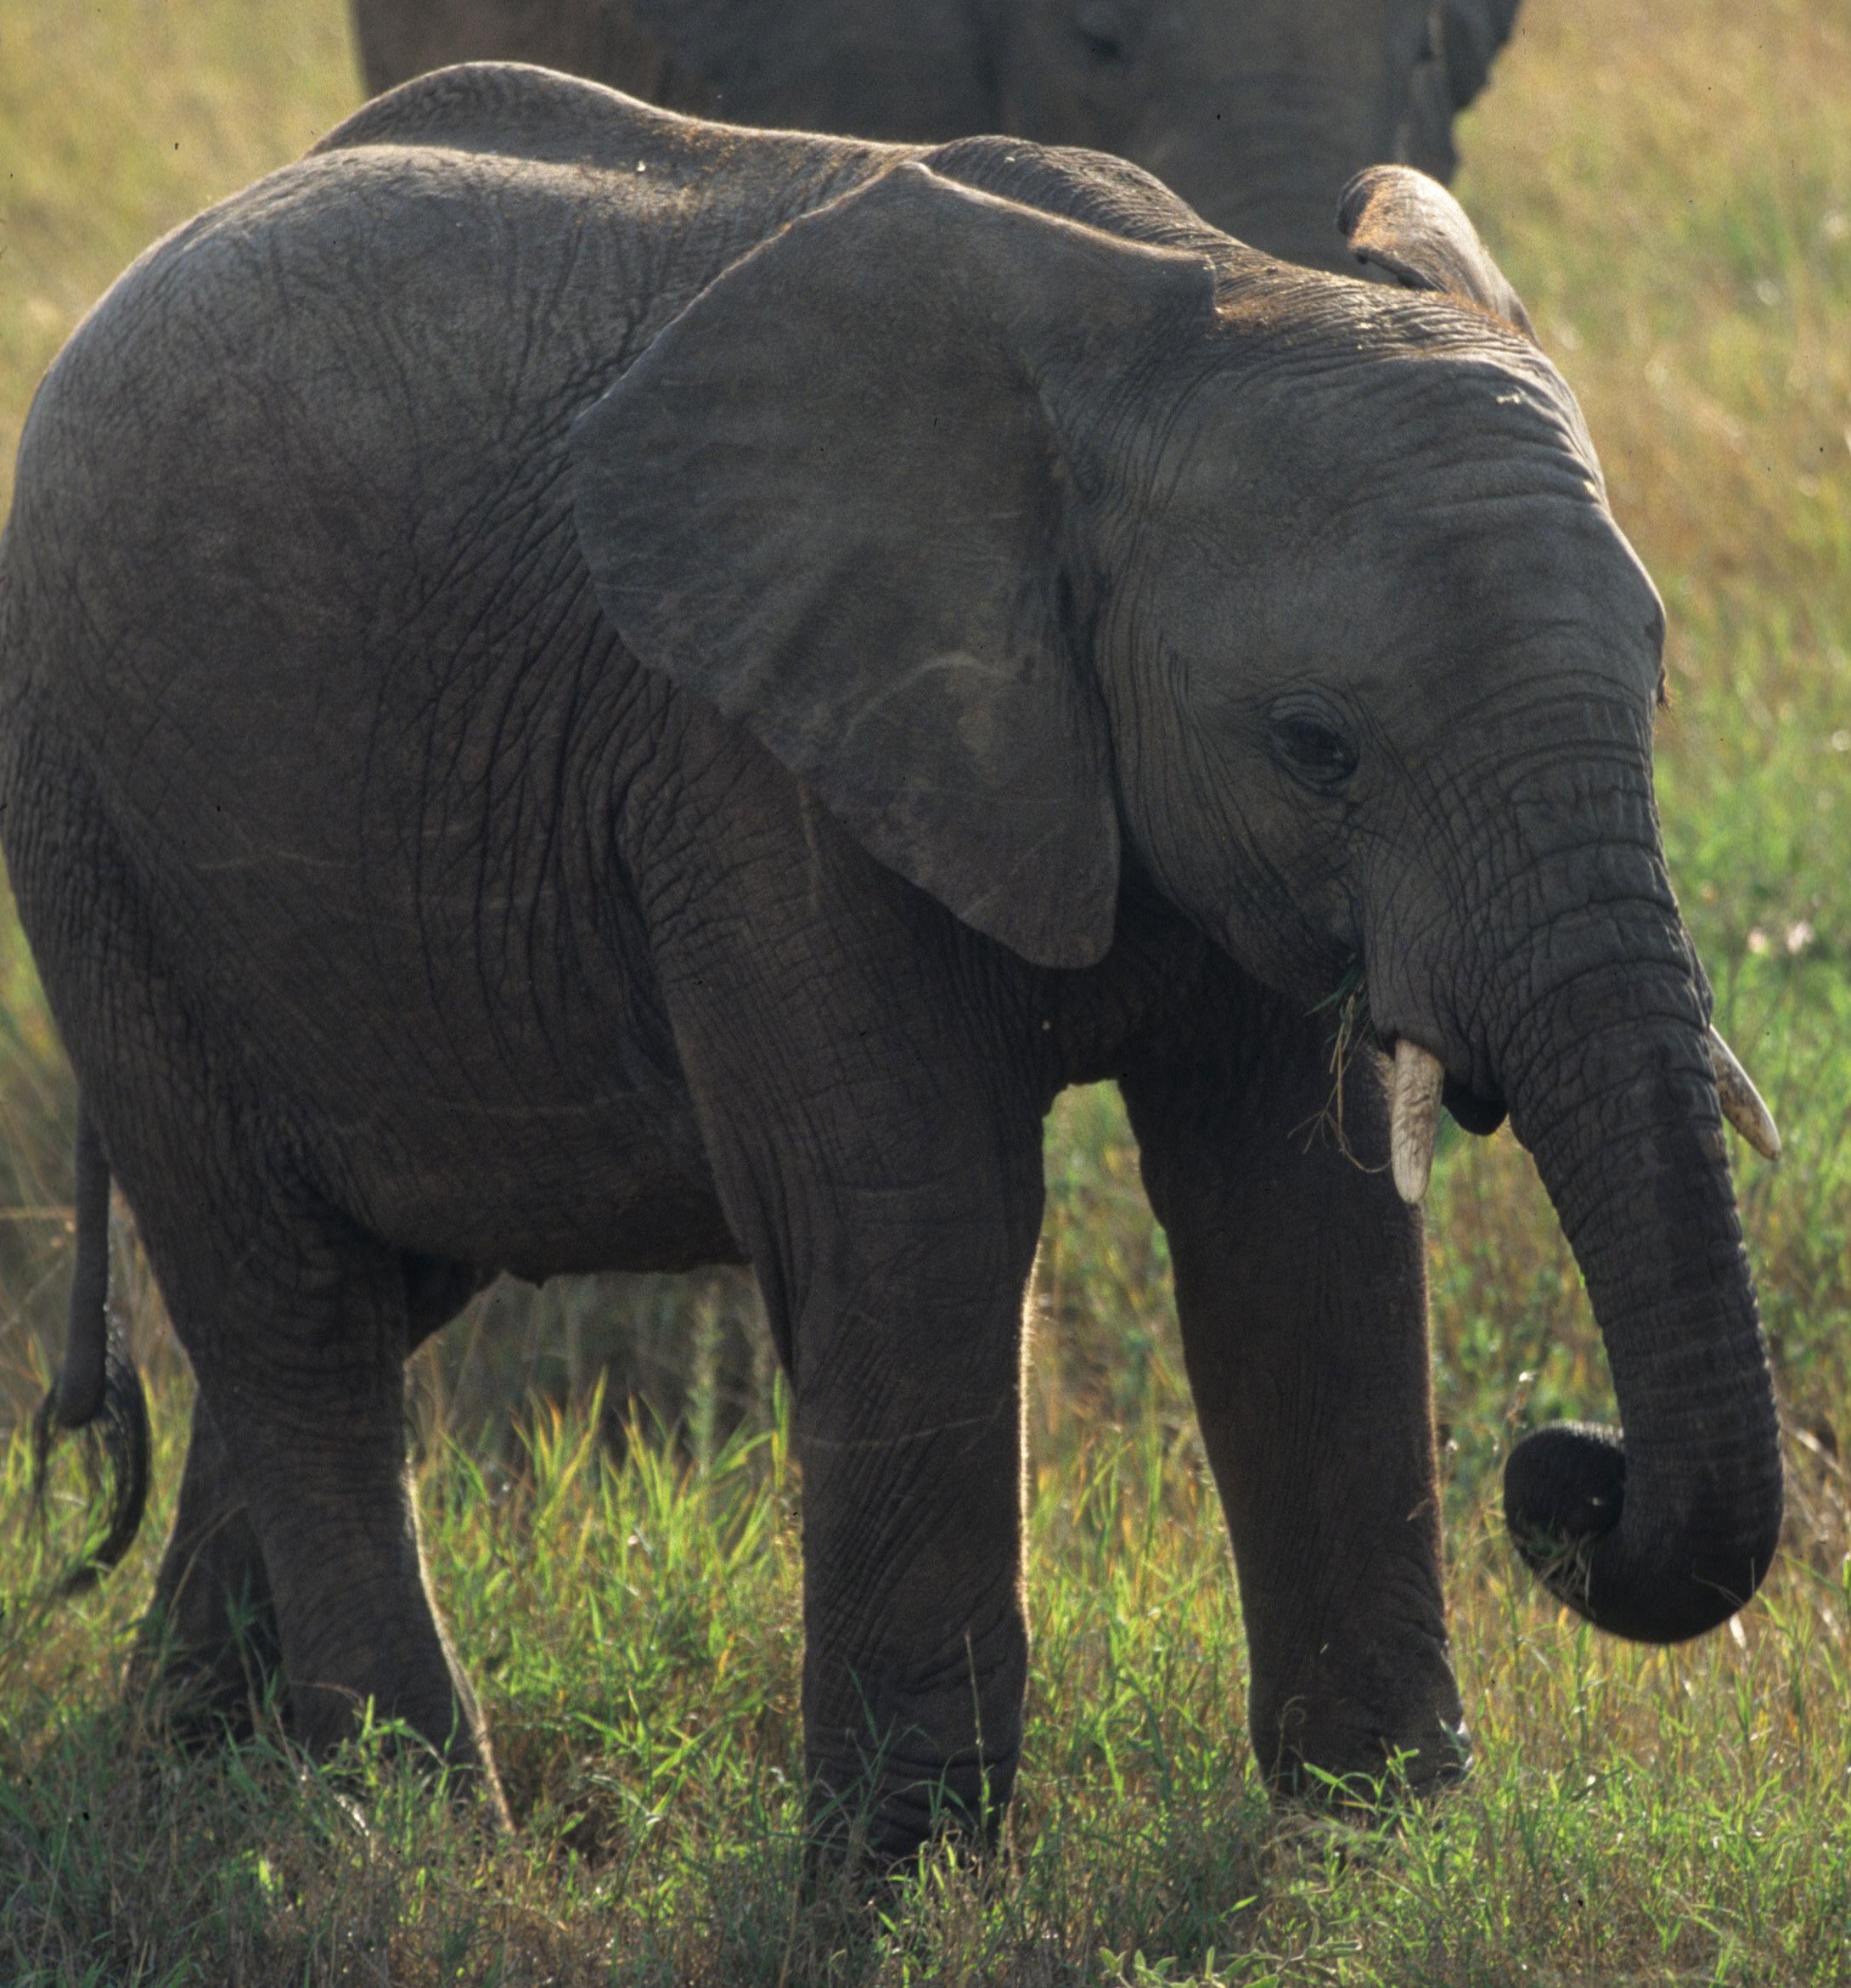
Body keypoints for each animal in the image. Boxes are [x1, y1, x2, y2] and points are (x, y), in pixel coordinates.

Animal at [3, 65, 1784, 1857]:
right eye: (1315, 744)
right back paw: (422, 1832)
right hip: (101, 834)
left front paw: (1374, 1841)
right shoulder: (749, 757)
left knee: (382, 1276)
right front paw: (905, 1876)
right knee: (285, 1303)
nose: (1565, 1472)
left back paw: (202, 1785)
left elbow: (1304, 1225)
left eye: (1656, 688)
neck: (1178, 315)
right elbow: (920, 1227)